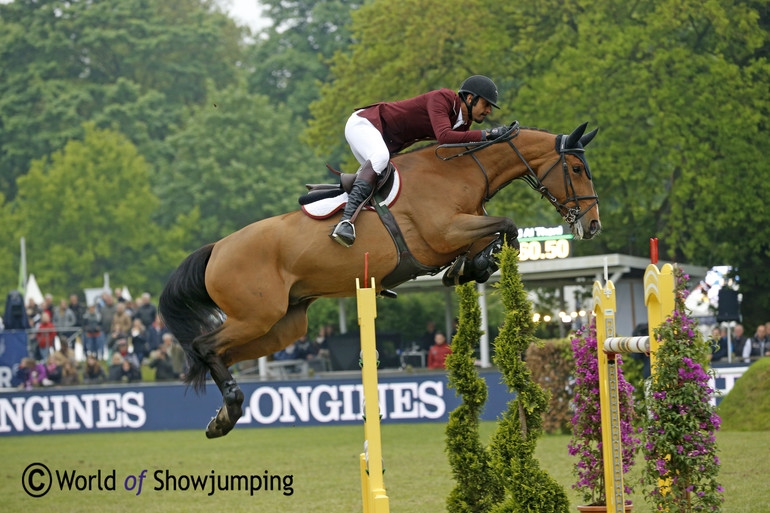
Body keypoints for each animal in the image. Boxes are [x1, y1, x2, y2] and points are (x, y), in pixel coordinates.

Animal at [156, 120, 600, 436]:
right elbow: (507, 226)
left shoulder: (461, 232)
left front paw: (470, 268)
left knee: (222, 354)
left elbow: (498, 236)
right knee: (204, 346)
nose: (592, 225)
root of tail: (217, 248)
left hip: (283, 326)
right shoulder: (445, 232)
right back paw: (231, 407)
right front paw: (473, 266)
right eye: (577, 168)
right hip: (256, 316)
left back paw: (222, 417)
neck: (461, 173)